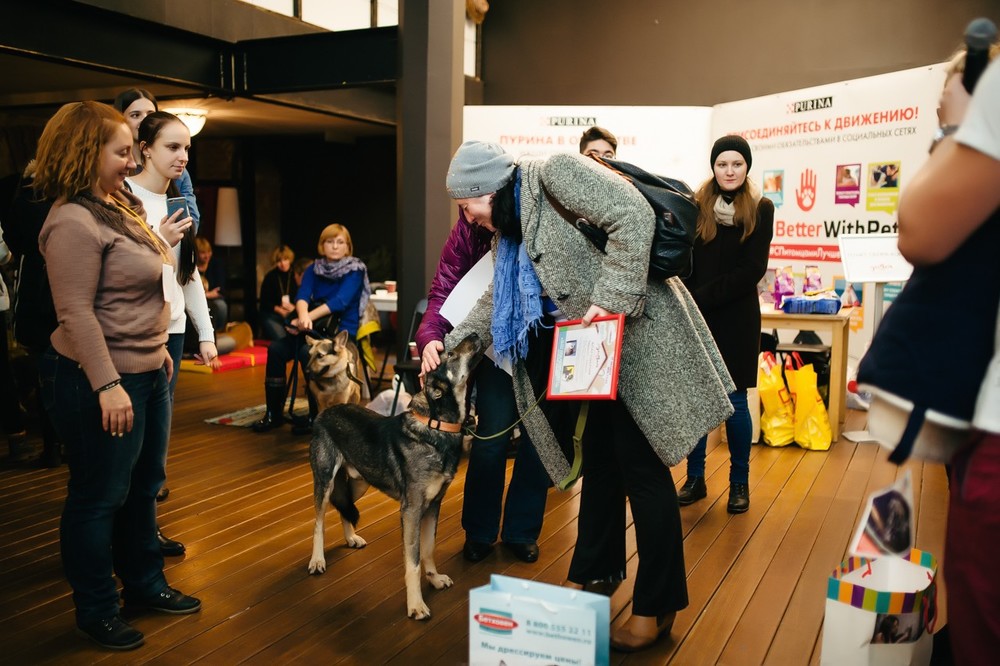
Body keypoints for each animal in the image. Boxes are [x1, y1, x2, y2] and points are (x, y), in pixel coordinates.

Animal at [308, 332, 488, 616]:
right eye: (450, 355)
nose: (475, 334)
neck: (437, 426)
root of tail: (325, 412)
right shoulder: (411, 510)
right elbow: (413, 561)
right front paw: (415, 605)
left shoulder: (433, 506)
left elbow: (428, 550)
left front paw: (434, 579)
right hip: (325, 481)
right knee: (318, 522)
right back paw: (317, 560)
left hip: (359, 482)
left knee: (345, 507)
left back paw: (351, 538)